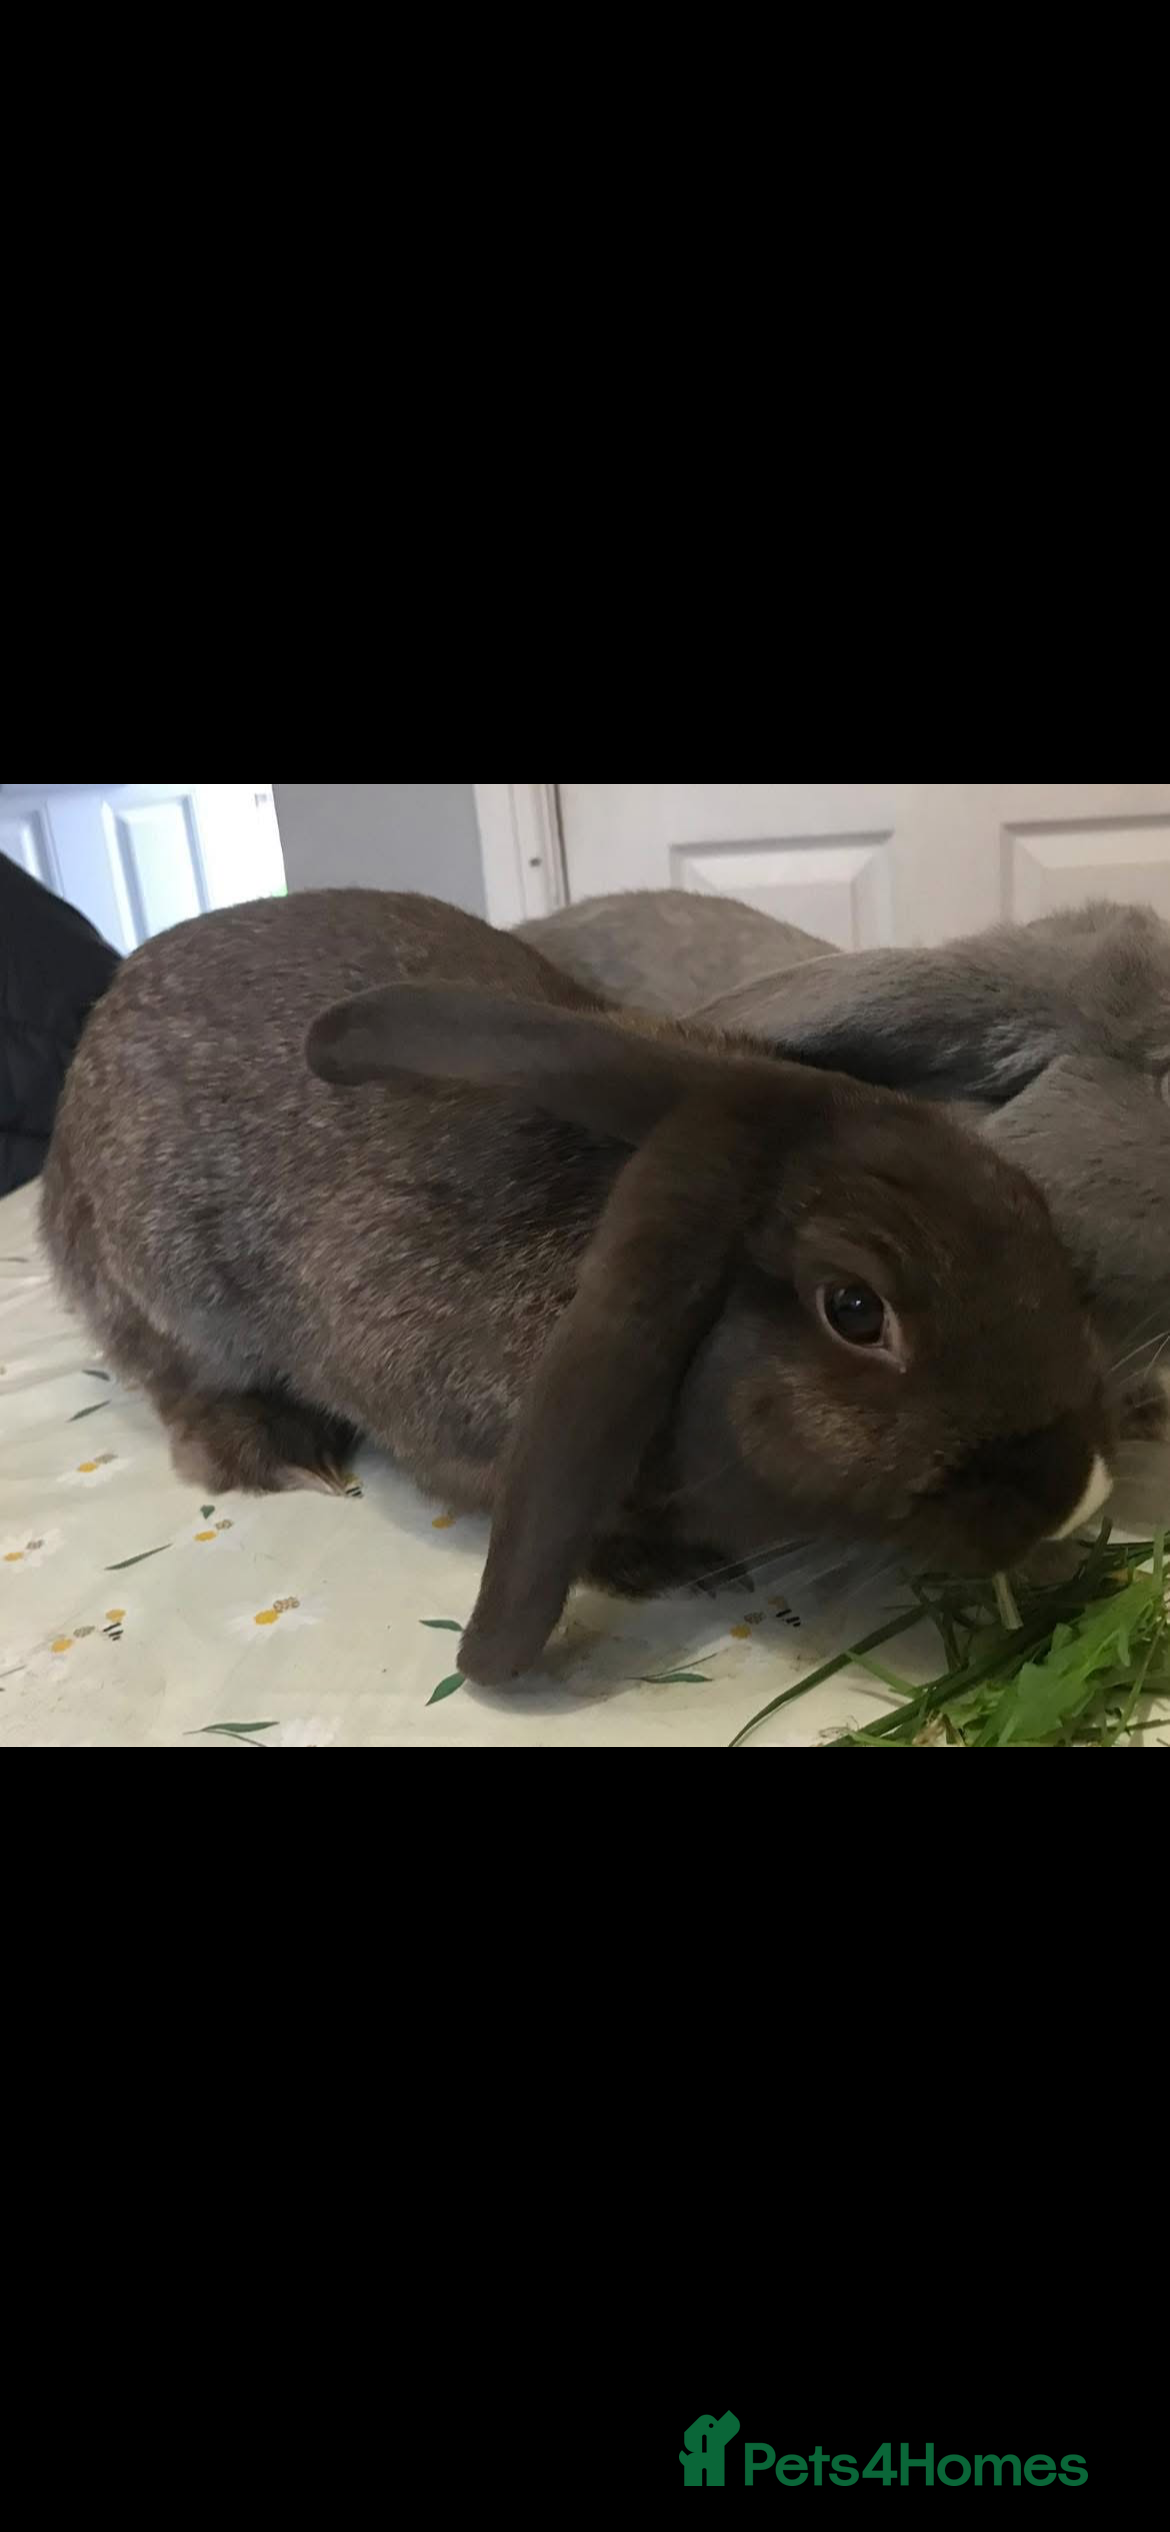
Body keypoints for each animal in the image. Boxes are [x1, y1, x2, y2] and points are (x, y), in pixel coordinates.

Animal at [41, 889, 1113, 1688]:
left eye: (1022, 1196)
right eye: (855, 1311)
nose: (1072, 1496)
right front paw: (672, 1570)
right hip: (166, 1287)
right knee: (175, 1377)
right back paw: (275, 1446)